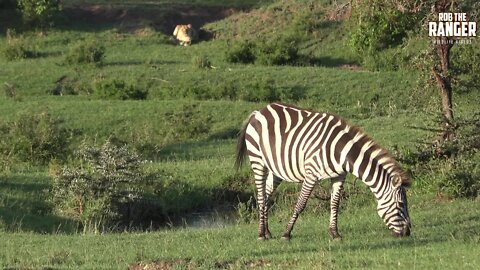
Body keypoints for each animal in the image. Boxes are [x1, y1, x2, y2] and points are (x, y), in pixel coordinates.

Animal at [234, 103, 410, 240]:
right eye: (401, 204)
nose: (408, 233)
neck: (341, 151)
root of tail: (259, 111)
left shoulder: (339, 176)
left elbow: (335, 204)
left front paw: (334, 233)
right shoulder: (312, 174)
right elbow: (301, 204)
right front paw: (286, 233)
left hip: (276, 169)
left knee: (267, 196)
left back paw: (267, 232)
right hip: (258, 160)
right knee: (261, 196)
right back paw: (261, 234)